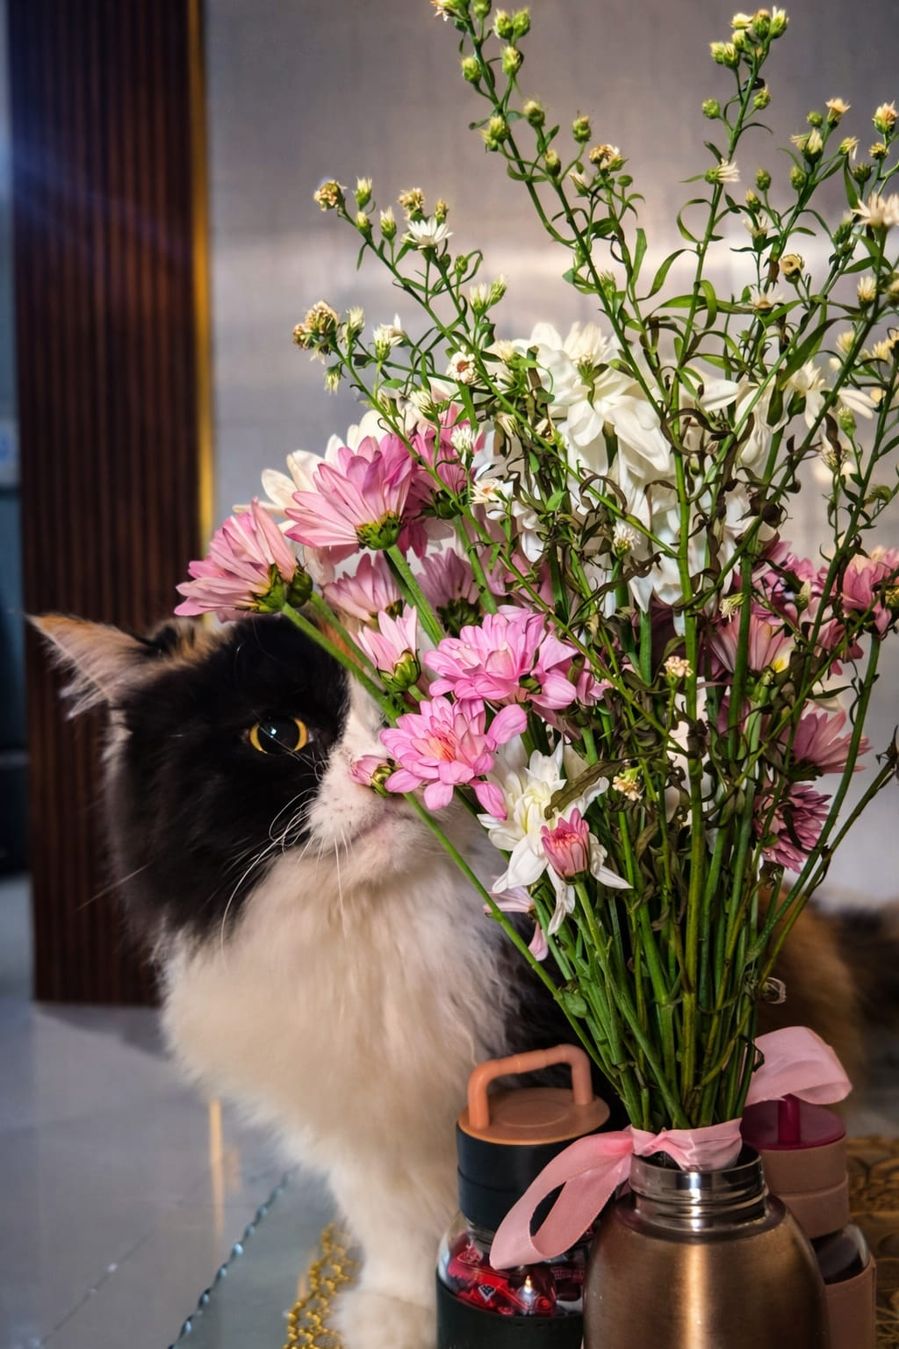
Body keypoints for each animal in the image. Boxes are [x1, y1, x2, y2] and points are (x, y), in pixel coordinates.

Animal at [35, 610, 876, 1349]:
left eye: (407, 706)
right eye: (279, 734)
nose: (385, 770)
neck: (381, 923)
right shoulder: (369, 1113)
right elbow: (393, 1219)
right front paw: (402, 1312)